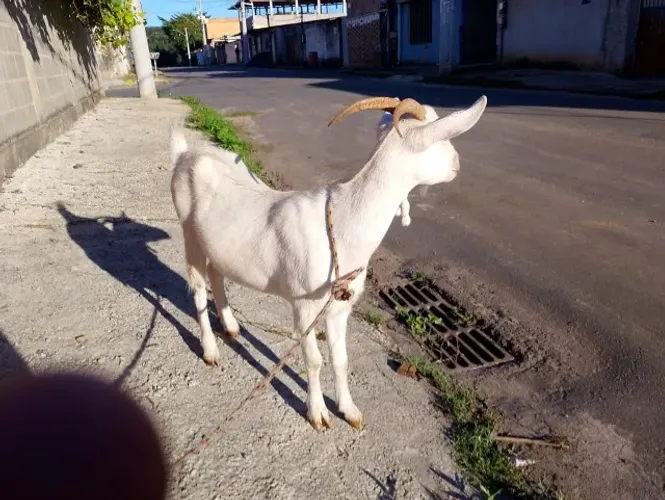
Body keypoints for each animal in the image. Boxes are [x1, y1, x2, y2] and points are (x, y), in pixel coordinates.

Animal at [170, 95, 488, 431]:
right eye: (441, 138)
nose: (457, 163)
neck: (343, 224)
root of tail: (185, 153)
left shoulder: (339, 306)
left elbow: (340, 360)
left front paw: (349, 410)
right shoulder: (303, 306)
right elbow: (314, 360)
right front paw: (318, 413)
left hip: (216, 244)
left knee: (216, 273)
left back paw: (230, 326)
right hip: (189, 232)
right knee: (197, 286)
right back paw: (210, 349)